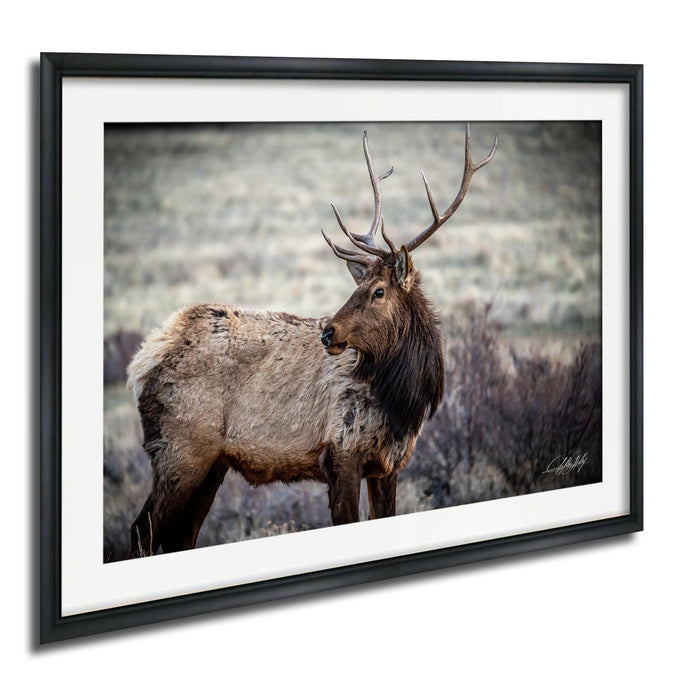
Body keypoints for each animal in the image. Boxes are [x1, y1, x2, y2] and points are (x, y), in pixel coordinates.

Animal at [127, 124, 497, 556]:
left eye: (379, 291)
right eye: (360, 286)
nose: (329, 331)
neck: (402, 402)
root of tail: (144, 359)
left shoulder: (387, 465)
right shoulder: (341, 453)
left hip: (211, 464)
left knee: (181, 537)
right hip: (180, 450)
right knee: (141, 531)